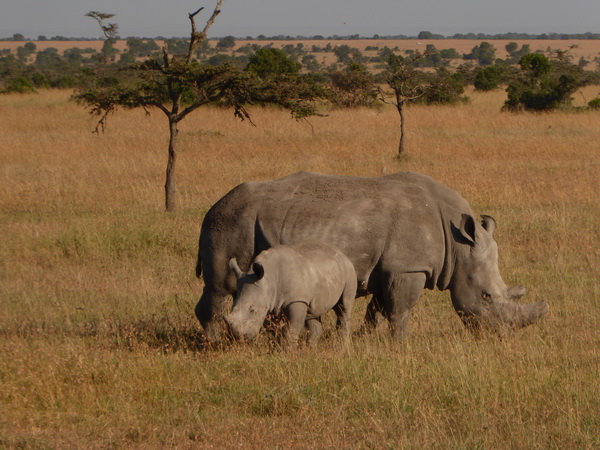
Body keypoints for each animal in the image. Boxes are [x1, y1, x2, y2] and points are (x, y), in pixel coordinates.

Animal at [224, 241, 356, 346]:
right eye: (232, 306)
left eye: (252, 309)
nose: (238, 336)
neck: (267, 280)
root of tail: (342, 253)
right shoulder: (271, 302)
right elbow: (276, 330)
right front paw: (278, 350)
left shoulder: (296, 300)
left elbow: (292, 328)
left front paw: (289, 351)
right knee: (312, 313)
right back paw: (310, 350)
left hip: (349, 270)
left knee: (344, 307)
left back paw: (341, 348)